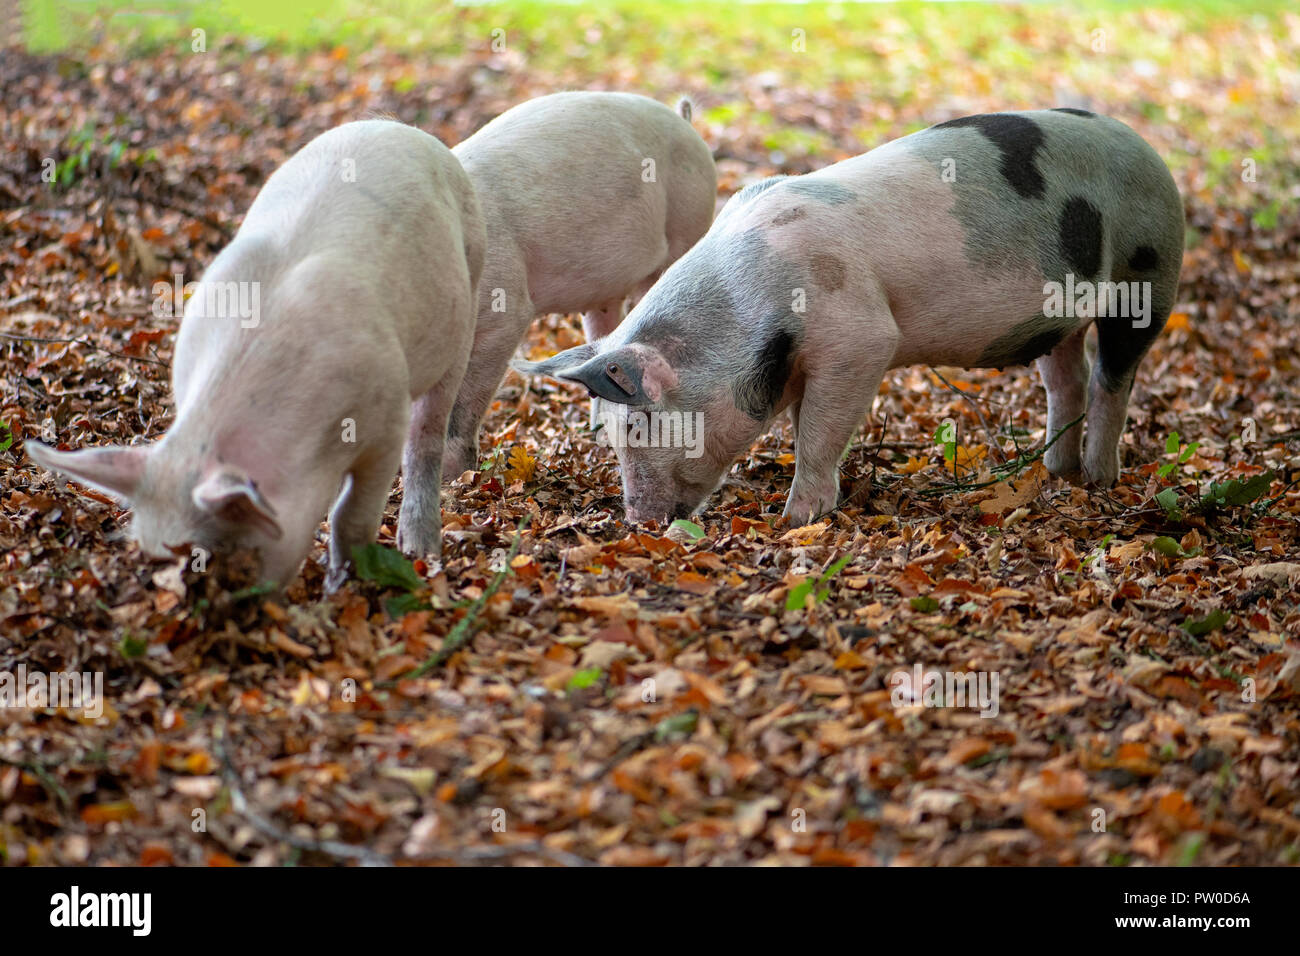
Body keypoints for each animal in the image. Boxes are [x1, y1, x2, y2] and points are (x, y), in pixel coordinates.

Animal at [24, 120, 483, 590]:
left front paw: (341, 586)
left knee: (428, 434)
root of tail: (399, 127)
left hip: (470, 285)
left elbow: (352, 514)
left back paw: (421, 550)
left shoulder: (386, 417)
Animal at [512, 113, 1185, 530]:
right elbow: (803, 426)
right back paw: (1056, 472)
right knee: (1065, 379)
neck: (751, 312)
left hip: (1148, 276)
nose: (637, 521)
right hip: (1061, 317)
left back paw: (1099, 480)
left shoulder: (861, 340)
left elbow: (819, 433)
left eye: (639, 425)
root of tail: (1148, 151)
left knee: (1112, 377)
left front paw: (794, 521)